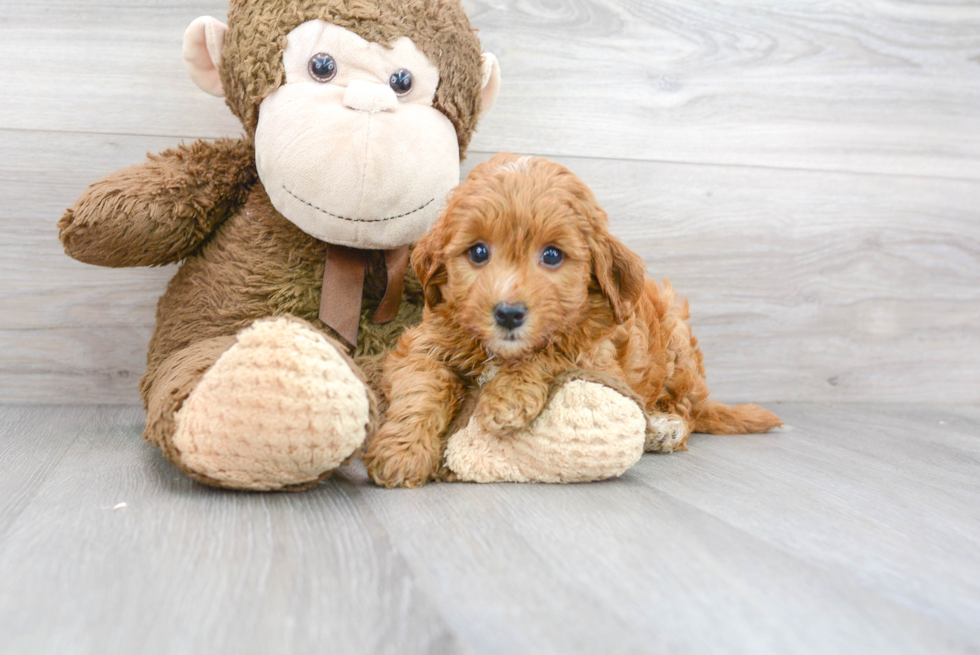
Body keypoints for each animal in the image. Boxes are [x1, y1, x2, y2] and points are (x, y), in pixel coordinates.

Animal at [364, 156, 784, 490]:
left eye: (552, 255)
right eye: (478, 252)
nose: (509, 314)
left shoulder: (598, 356)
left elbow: (555, 348)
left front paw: (507, 396)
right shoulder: (422, 347)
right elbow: (422, 388)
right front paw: (401, 453)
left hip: (677, 340)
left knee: (688, 410)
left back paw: (664, 428)